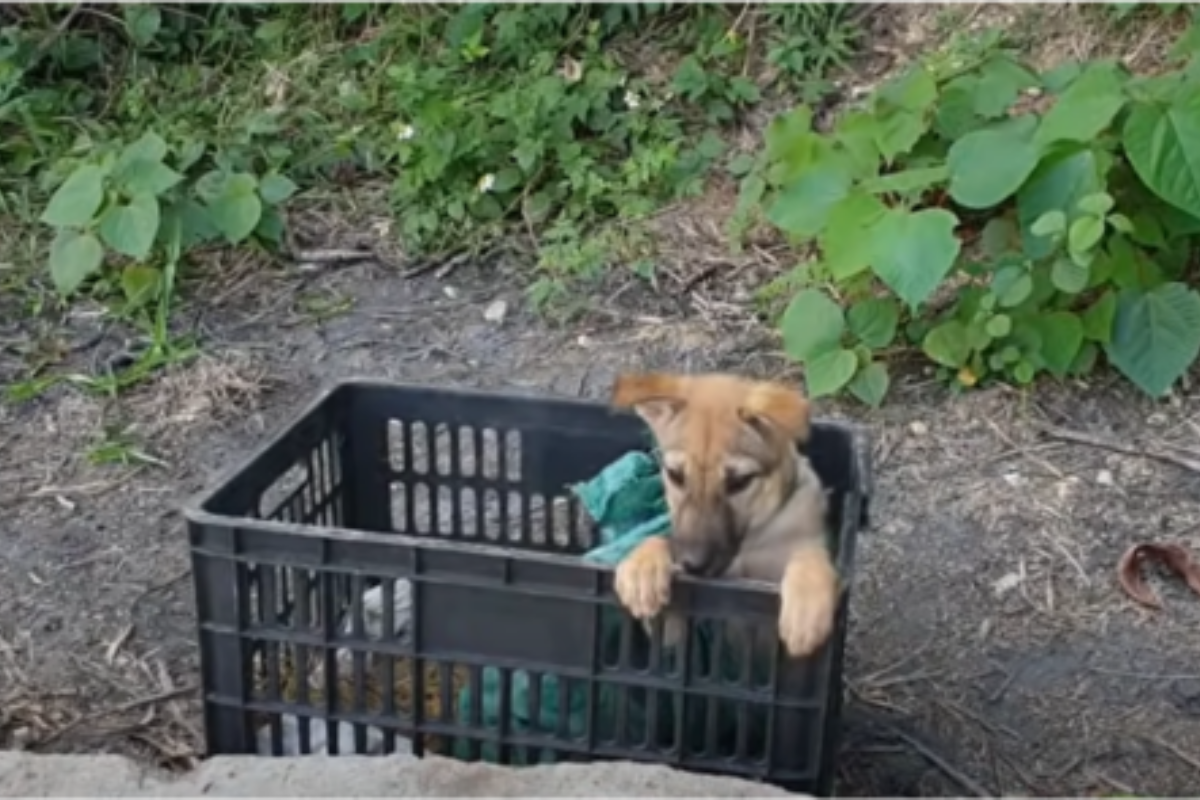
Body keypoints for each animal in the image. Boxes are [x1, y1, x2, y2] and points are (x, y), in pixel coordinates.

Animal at [609, 371, 835, 662]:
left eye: (739, 481)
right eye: (675, 475)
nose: (692, 565)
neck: (749, 544)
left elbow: (810, 554)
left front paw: (806, 606)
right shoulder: (676, 637)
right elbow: (662, 541)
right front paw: (643, 568)